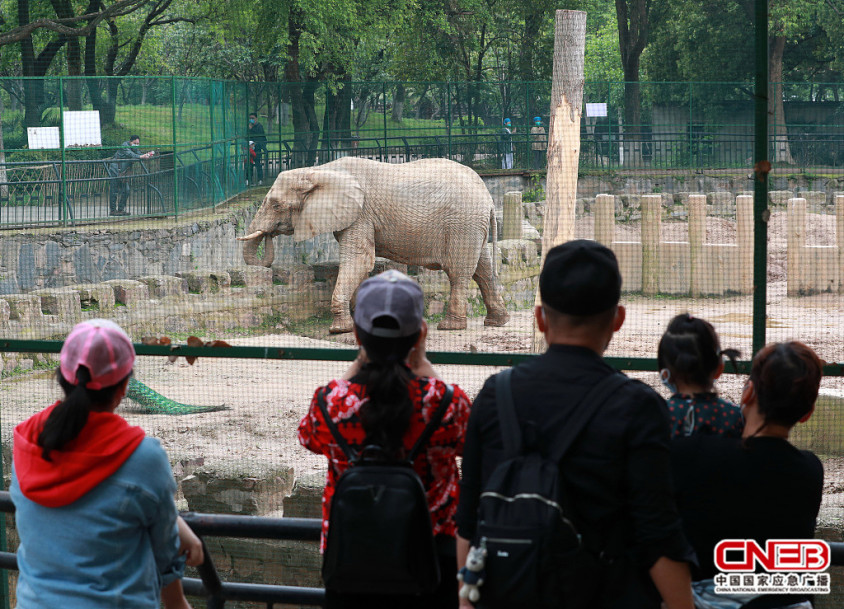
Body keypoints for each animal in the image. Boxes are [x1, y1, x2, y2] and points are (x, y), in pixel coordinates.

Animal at [241, 156, 512, 332]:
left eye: (276, 204)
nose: (269, 234)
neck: (318, 170)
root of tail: (489, 198)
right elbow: (361, 265)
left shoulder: (360, 214)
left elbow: (359, 260)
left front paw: (339, 329)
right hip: (472, 225)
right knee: (483, 269)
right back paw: (497, 322)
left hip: (462, 224)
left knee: (459, 272)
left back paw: (450, 326)